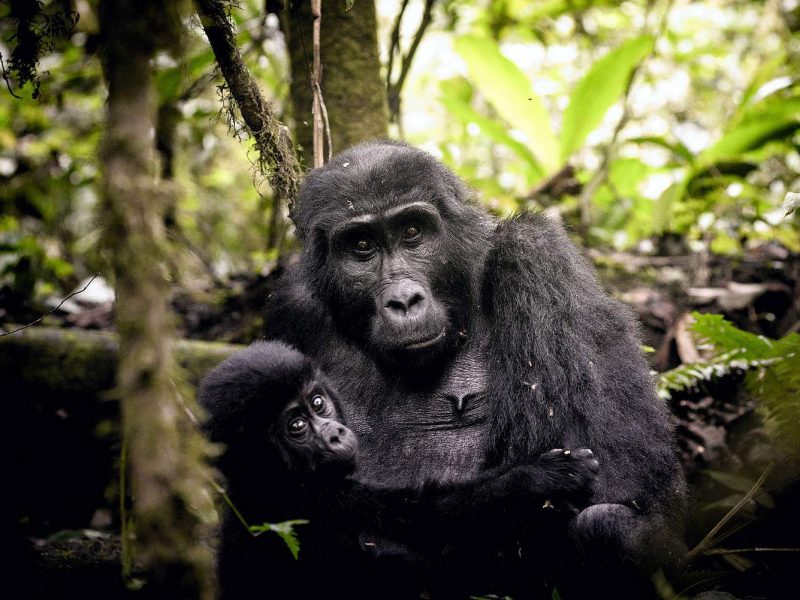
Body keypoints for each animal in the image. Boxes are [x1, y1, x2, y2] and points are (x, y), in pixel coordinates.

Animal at [200, 340, 600, 596]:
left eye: (317, 403)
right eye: (296, 426)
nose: (335, 434)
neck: (264, 477)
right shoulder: (313, 500)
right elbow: (427, 523)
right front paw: (538, 479)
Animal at [264, 141, 688, 596]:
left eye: (412, 232)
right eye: (361, 245)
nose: (404, 301)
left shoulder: (536, 255)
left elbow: (620, 473)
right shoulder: (291, 312)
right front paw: (528, 482)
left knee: (603, 525)